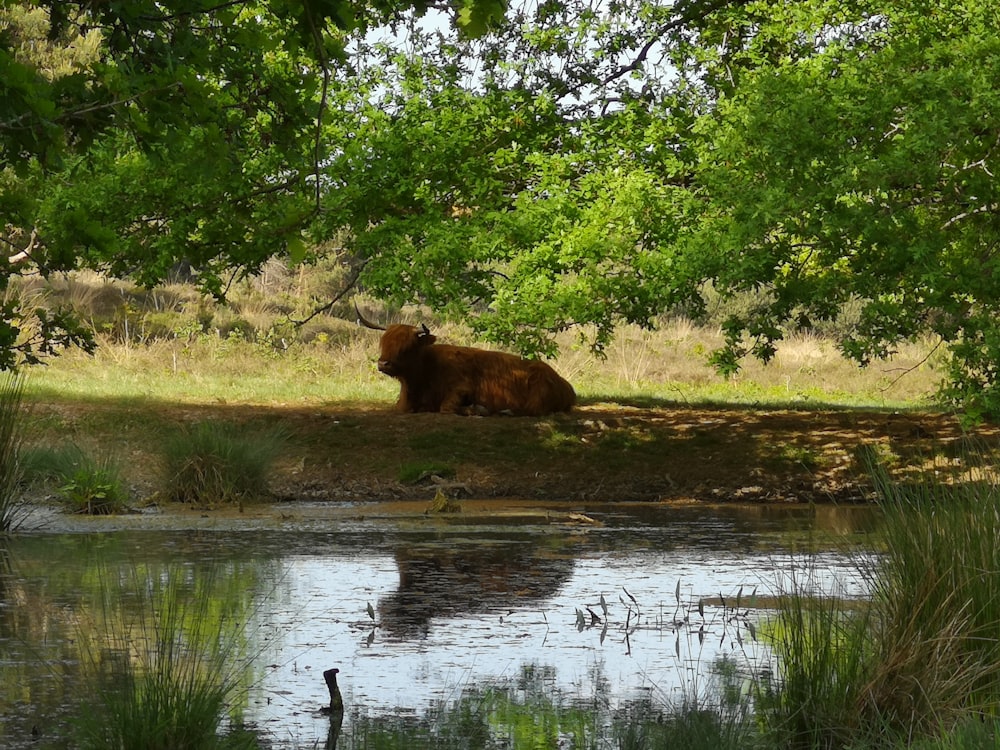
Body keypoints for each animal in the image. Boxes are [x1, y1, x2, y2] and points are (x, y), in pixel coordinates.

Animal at [360, 308, 580, 420]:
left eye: (407, 347)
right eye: (384, 343)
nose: (383, 363)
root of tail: (565, 384)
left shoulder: (461, 387)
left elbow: (446, 407)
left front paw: (476, 409)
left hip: (537, 392)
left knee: (532, 410)